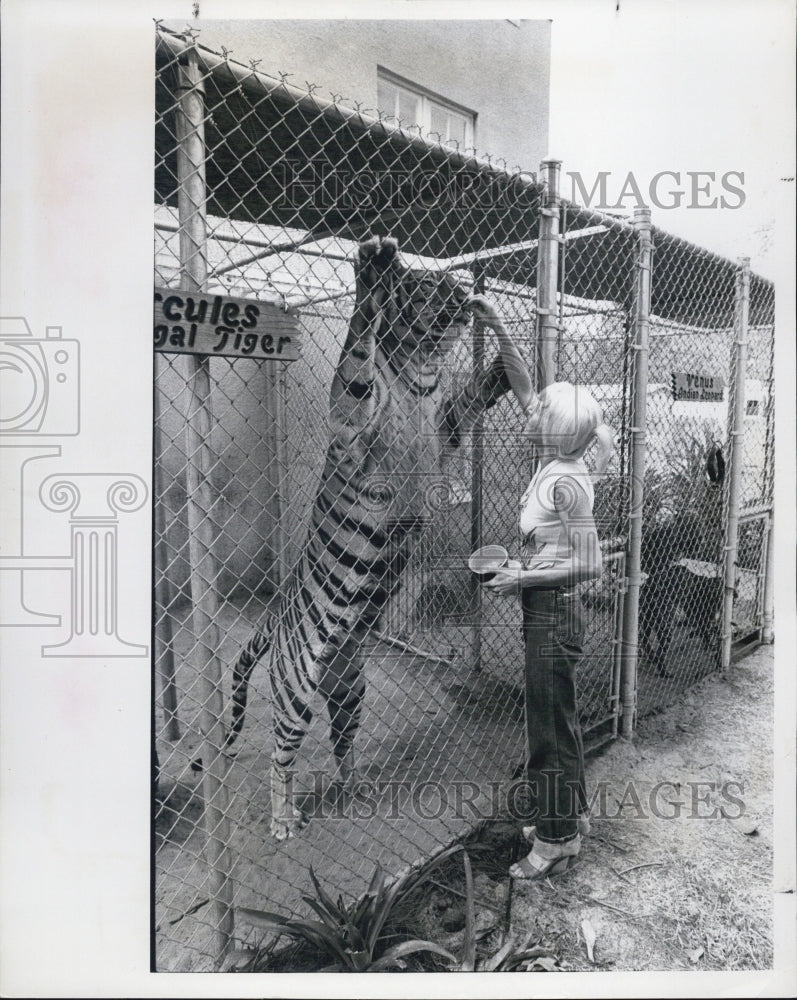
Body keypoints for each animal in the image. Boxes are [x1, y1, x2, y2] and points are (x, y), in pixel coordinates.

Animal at [215, 234, 532, 836]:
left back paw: (355, 783)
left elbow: (476, 390)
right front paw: (373, 270)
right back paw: (283, 817)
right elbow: (354, 354)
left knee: (342, 738)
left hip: (350, 686)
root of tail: (275, 613)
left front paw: (500, 353)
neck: (422, 371)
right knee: (280, 754)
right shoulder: (352, 418)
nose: (460, 289)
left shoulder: (450, 422)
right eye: (427, 285)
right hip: (295, 688)